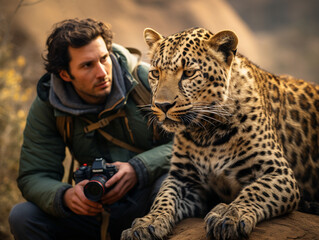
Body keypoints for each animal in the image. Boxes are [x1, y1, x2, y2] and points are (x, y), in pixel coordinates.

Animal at [121, 27, 319, 239]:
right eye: (155, 73)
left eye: (189, 73)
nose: (162, 105)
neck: (207, 133)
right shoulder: (184, 178)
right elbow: (164, 198)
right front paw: (146, 223)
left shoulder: (279, 172)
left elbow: (255, 191)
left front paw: (229, 215)